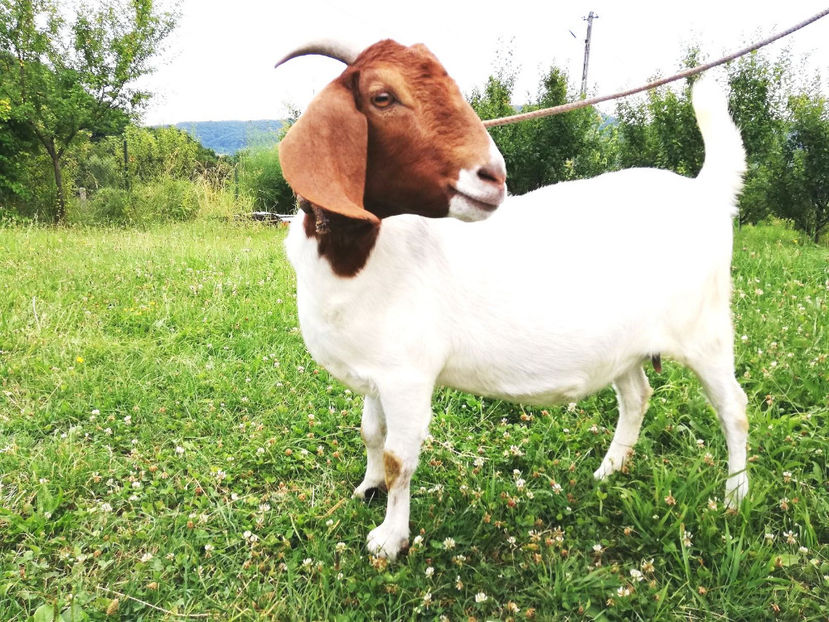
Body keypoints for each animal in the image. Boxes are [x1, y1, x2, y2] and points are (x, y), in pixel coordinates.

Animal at [275, 39, 749, 560]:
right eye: (382, 97)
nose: (493, 176)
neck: (358, 254)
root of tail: (705, 192)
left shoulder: (407, 376)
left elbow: (401, 458)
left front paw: (389, 540)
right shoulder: (376, 374)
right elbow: (371, 433)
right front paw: (368, 488)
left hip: (706, 330)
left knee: (734, 408)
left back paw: (734, 497)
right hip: (625, 345)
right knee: (636, 396)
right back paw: (608, 471)